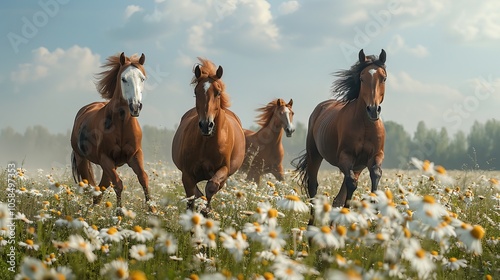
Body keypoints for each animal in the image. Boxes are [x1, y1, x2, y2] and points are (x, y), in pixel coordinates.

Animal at [69, 52, 153, 213]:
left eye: (142, 78)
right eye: (124, 78)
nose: (135, 107)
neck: (121, 125)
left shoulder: (135, 155)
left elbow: (144, 178)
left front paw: (153, 211)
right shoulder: (106, 158)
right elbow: (118, 184)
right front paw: (119, 213)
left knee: (101, 187)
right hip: (83, 159)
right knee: (92, 186)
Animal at [172, 57, 246, 214]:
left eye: (218, 92)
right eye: (196, 92)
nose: (206, 125)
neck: (205, 143)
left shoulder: (223, 170)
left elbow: (211, 187)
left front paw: (206, 210)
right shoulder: (187, 174)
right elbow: (192, 196)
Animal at [294, 48, 388, 222]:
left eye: (383, 78)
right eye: (362, 78)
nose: (373, 110)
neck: (365, 125)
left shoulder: (376, 156)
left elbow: (375, 174)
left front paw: (374, 211)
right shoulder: (345, 157)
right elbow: (351, 185)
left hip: (358, 166)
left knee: (338, 197)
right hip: (314, 155)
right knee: (313, 187)